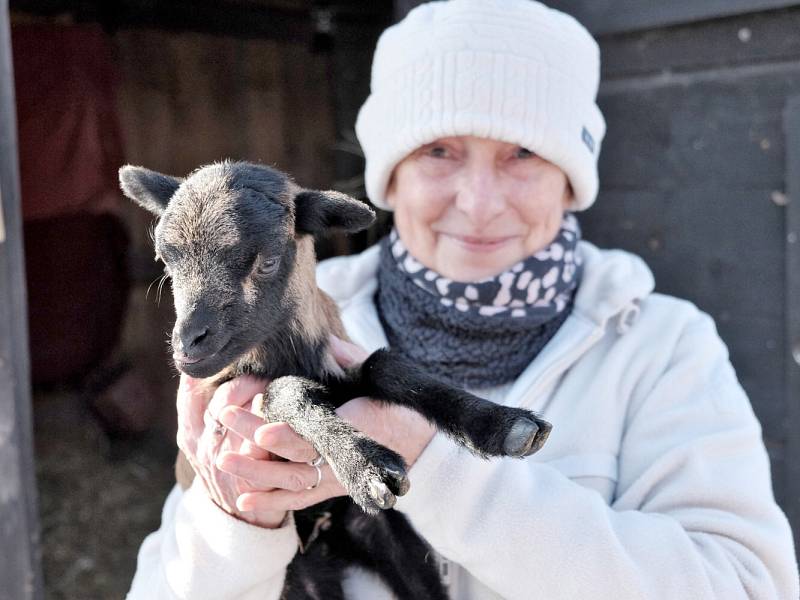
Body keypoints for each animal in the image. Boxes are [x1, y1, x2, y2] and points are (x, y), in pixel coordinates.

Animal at [119, 162, 552, 596]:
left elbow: (387, 368)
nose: (187, 345)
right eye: (166, 260)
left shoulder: (346, 368)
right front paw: (365, 467)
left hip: (389, 541)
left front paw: (504, 425)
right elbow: (285, 390)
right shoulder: (228, 393)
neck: (288, 353)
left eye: (268, 262)